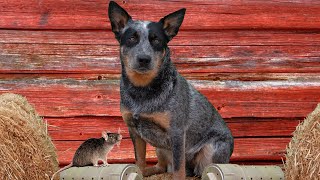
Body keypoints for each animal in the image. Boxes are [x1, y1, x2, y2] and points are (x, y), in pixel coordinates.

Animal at [107, 1, 232, 179]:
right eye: (132, 38)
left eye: (157, 40)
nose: (144, 59)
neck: (142, 90)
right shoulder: (134, 131)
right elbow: (139, 160)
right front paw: (139, 172)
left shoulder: (177, 132)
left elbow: (179, 169)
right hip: (161, 148)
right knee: (161, 167)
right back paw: (149, 171)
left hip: (212, 149)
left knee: (199, 170)